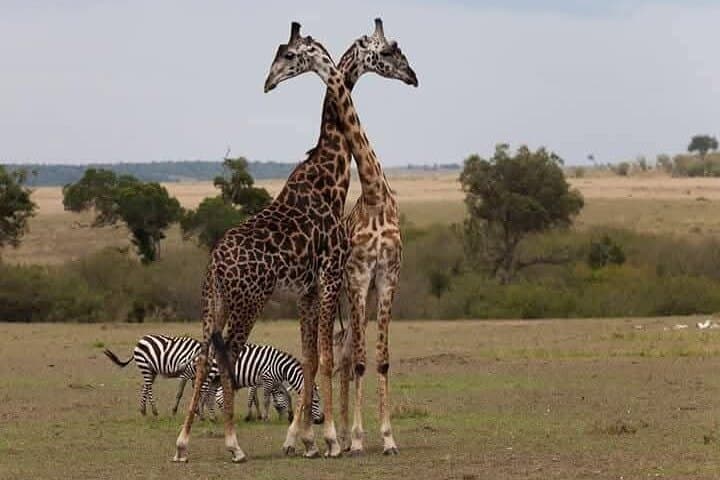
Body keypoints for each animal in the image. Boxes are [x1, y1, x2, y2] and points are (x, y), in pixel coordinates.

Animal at [173, 20, 416, 463]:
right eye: (390, 50)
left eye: (287, 54)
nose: (268, 82)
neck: (331, 175)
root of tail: (214, 263)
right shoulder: (331, 275)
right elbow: (323, 358)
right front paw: (329, 439)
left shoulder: (310, 288)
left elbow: (311, 356)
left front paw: (308, 440)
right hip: (249, 300)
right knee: (227, 356)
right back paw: (234, 446)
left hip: (213, 302)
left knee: (203, 355)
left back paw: (182, 445)